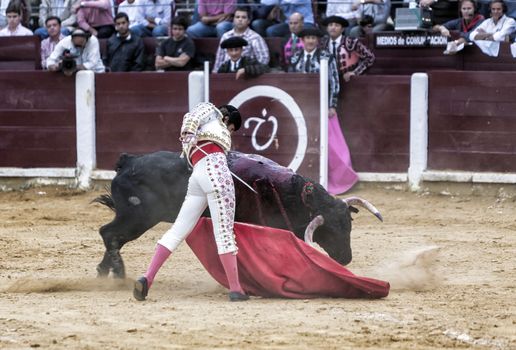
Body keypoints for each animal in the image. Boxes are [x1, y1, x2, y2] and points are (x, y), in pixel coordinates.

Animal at [94, 152, 380, 278]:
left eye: (349, 225)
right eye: (328, 230)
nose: (345, 258)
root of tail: (128, 162)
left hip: (136, 218)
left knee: (113, 236)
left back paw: (105, 271)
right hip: (137, 217)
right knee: (109, 233)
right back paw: (117, 272)